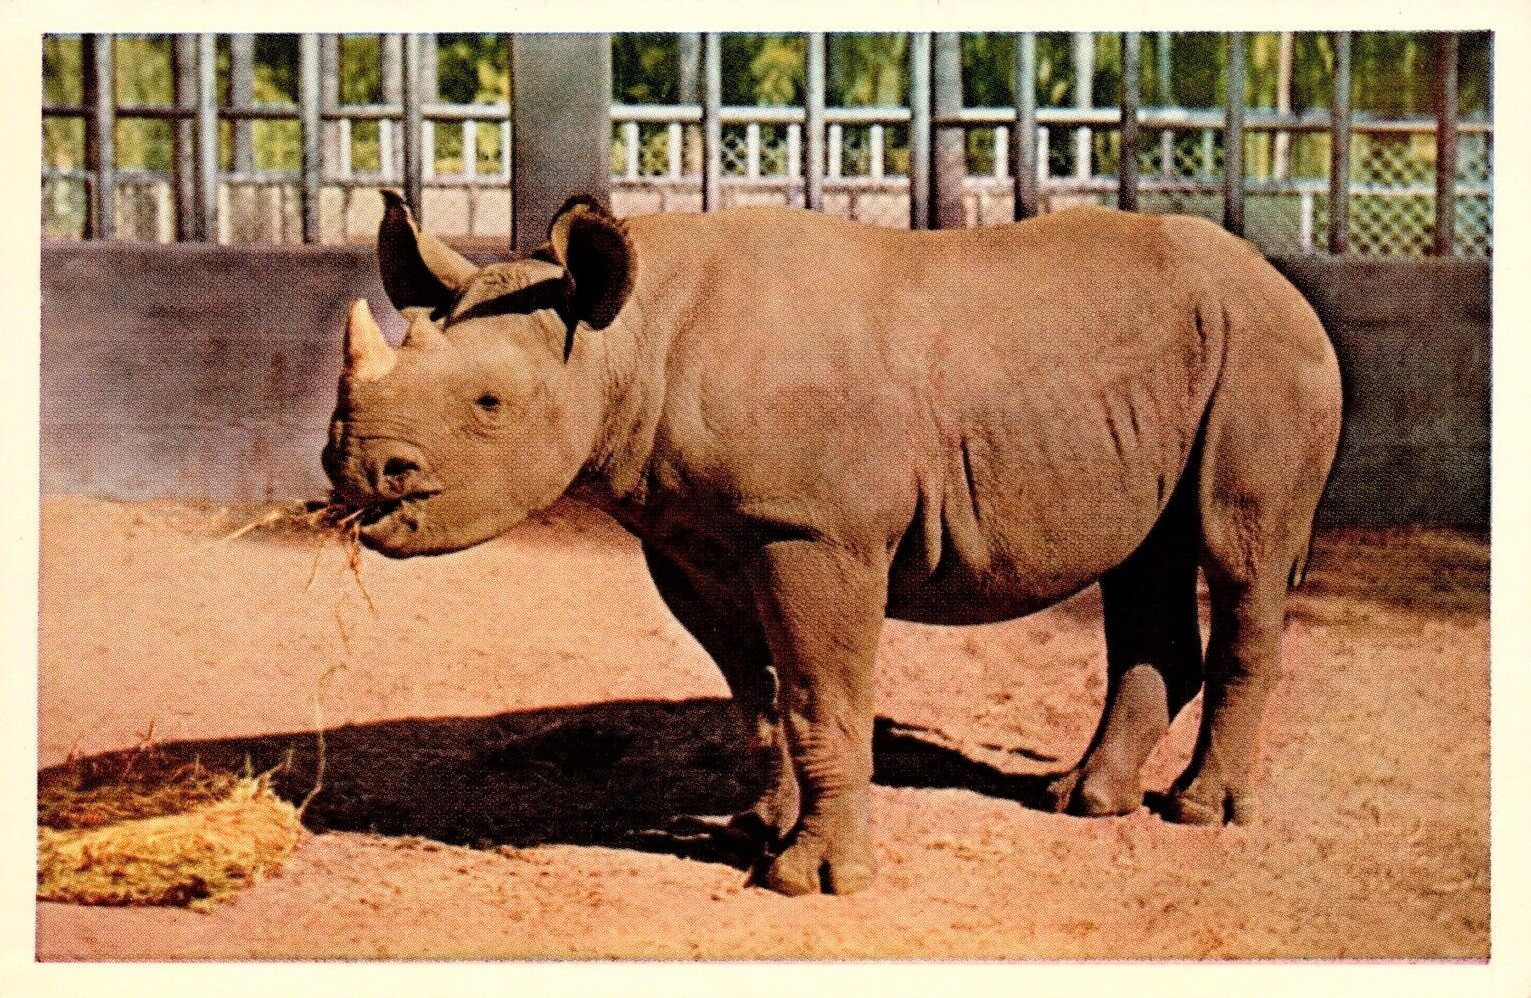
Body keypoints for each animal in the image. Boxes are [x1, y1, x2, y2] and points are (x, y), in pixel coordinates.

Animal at [323, 190, 1342, 896]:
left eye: (489, 406)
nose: (357, 469)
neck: (624, 340)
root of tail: (1278, 278)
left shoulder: (814, 530)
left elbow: (822, 696)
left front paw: (808, 879)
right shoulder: (696, 535)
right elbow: (760, 693)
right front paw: (755, 827)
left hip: (1266, 350)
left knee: (1239, 555)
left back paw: (1198, 812)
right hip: (1164, 373)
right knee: (1144, 558)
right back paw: (1082, 799)